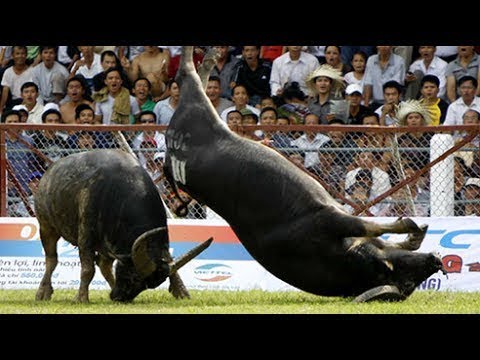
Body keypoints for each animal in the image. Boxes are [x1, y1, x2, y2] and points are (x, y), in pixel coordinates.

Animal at [33, 149, 212, 304]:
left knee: (104, 265)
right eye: (134, 276)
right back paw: (43, 292)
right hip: (46, 227)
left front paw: (181, 292)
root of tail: (48, 175)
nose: (120, 297)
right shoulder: (86, 236)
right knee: (51, 260)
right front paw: (81, 298)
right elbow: (87, 269)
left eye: (146, 285)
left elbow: (169, 262)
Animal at [164, 46, 446, 302]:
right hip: (199, 108)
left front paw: (415, 233)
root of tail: (170, 148)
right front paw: (410, 225)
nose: (436, 261)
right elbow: (368, 225)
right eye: (406, 276)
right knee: (187, 73)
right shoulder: (329, 218)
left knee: (194, 76)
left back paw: (209, 57)